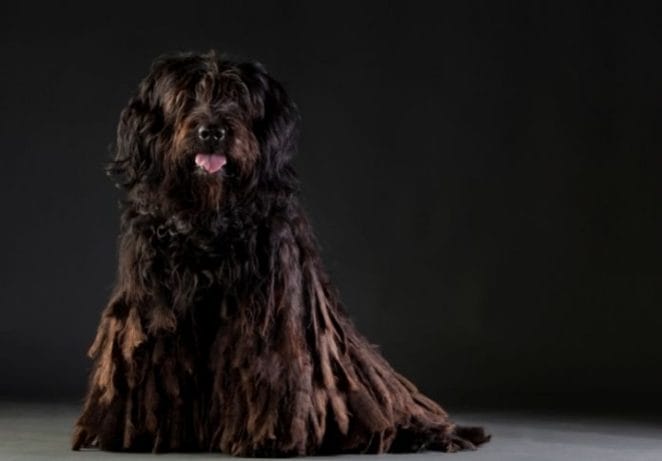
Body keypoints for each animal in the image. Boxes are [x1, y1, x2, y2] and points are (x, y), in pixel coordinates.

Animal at [71, 51, 492, 456]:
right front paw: (143, 434)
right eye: (186, 96)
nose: (212, 132)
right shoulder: (157, 302)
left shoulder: (269, 307)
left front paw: (266, 440)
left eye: (239, 99)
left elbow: (268, 369)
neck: (209, 219)